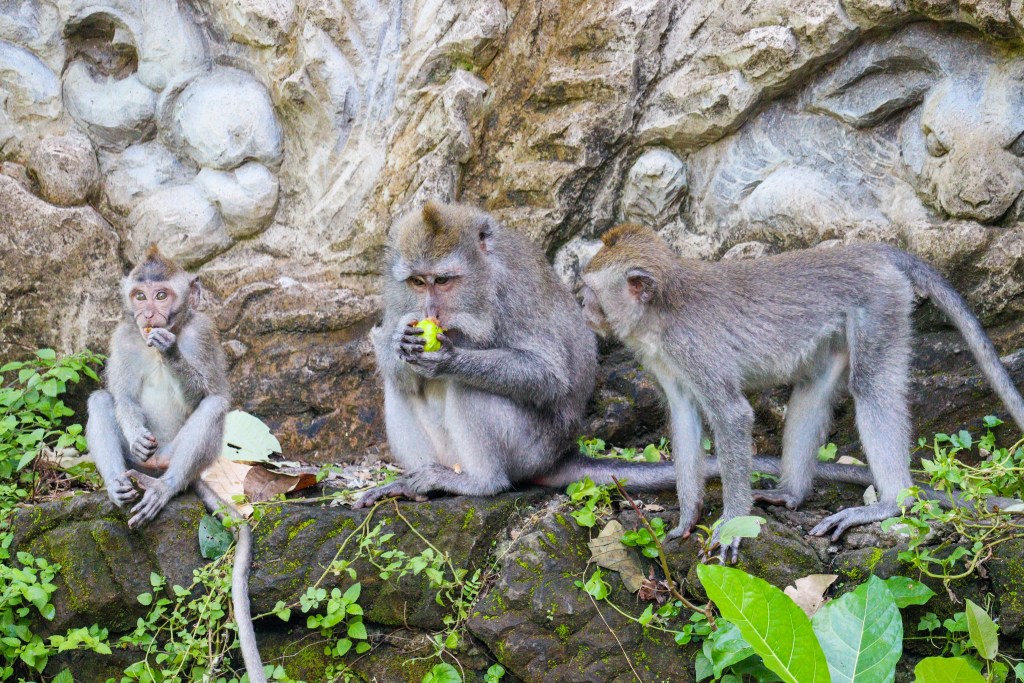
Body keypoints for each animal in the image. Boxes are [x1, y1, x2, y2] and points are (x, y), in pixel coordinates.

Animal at [85, 245, 265, 682]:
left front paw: (169, 350)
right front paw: (135, 432)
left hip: (184, 460)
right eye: (139, 296)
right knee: (101, 400)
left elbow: (210, 391)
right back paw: (119, 485)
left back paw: (163, 489)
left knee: (213, 407)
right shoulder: (122, 336)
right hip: (136, 463)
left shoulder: (203, 333)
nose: (149, 314)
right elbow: (121, 398)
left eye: (162, 295)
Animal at [580, 223, 1024, 560]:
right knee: (814, 387)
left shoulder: (693, 349)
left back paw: (890, 503)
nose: (582, 306)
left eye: (591, 290)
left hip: (880, 305)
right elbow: (685, 415)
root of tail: (867, 250)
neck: (660, 311)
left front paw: (731, 523)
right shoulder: (667, 361)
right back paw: (791, 495)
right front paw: (688, 517)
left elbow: (732, 415)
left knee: (870, 385)